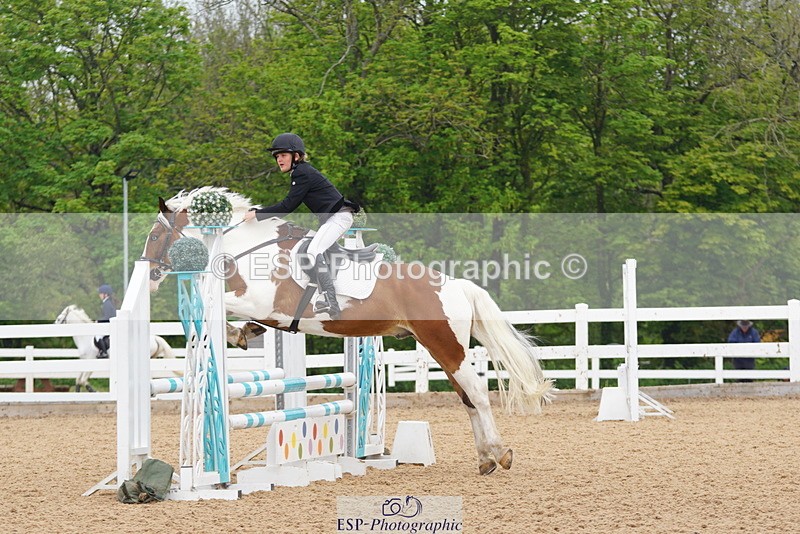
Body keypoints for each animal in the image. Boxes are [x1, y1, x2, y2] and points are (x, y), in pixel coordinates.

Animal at [141, 187, 554, 475]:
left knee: (479, 397)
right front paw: (241, 335)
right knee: (468, 400)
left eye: (155, 236)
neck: (251, 247)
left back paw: (500, 453)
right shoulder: (268, 313)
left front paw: (230, 333)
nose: (149, 276)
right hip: (443, 349)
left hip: (447, 348)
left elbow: (221, 305)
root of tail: (456, 285)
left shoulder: (261, 302)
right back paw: (485, 458)